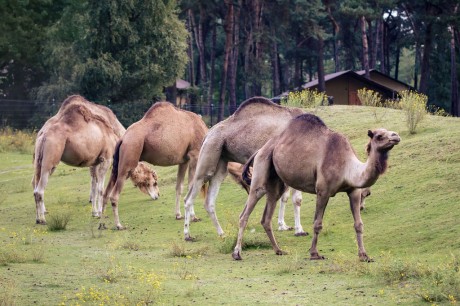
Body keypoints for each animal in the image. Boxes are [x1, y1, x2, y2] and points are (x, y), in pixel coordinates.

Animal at [32, 95, 158, 225]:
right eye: (154, 182)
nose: (157, 196)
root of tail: (43, 134)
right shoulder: (106, 159)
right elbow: (100, 189)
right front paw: (100, 212)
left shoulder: (95, 161)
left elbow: (94, 186)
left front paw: (95, 212)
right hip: (50, 158)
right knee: (39, 190)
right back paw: (43, 219)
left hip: (38, 159)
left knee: (35, 186)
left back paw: (37, 218)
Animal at [102, 101, 208, 230]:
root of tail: (123, 139)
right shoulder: (194, 155)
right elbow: (191, 186)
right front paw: (194, 217)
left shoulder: (184, 161)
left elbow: (179, 187)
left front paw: (178, 215)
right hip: (128, 162)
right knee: (114, 196)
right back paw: (119, 225)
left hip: (116, 166)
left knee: (105, 193)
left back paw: (102, 224)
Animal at [232, 113, 400, 262]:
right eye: (379, 136)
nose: (396, 136)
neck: (348, 167)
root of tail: (260, 149)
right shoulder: (323, 191)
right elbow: (317, 223)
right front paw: (314, 254)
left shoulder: (353, 191)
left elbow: (359, 224)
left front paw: (364, 256)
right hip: (261, 167)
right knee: (245, 213)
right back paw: (237, 253)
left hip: (276, 182)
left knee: (267, 215)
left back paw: (278, 250)